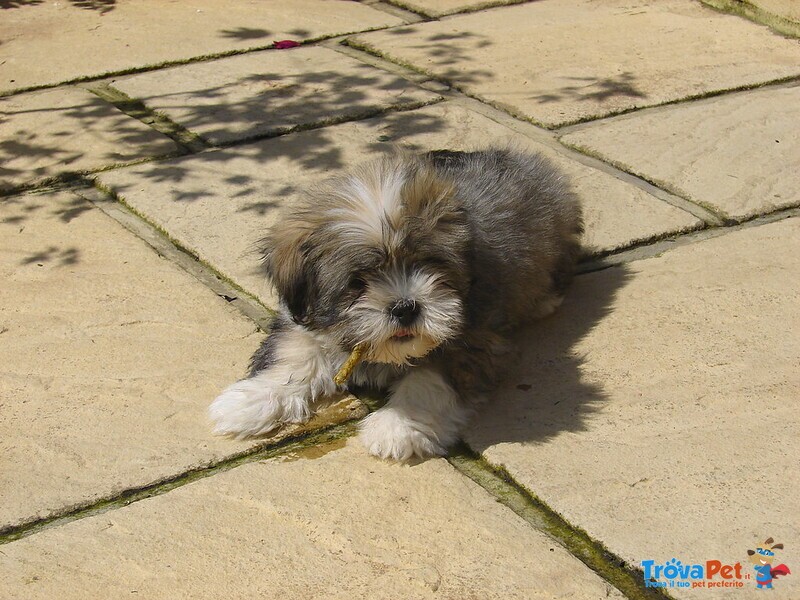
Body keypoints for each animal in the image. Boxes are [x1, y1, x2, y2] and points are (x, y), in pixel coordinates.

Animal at [209, 149, 584, 460]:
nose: (405, 307)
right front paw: (252, 400)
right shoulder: (303, 320)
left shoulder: (472, 338)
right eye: (358, 281)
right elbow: (293, 355)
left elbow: (428, 379)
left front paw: (396, 427)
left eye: (429, 264)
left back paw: (544, 300)